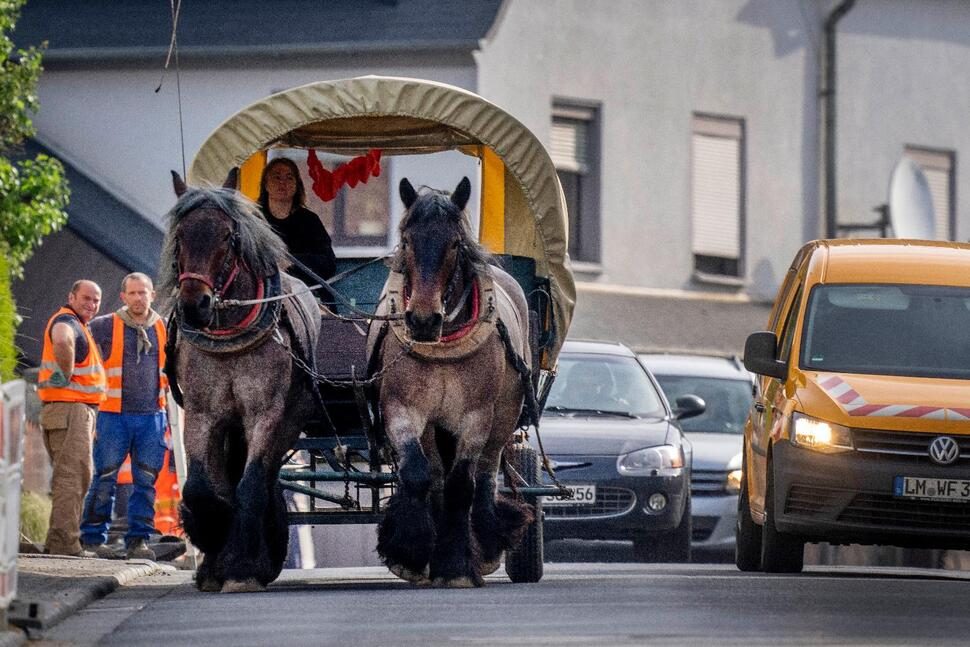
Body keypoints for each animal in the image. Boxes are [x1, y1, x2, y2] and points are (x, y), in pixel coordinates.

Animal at [163, 171, 320, 592]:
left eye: (228, 237)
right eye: (180, 235)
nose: (194, 305)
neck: (230, 336)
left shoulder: (264, 414)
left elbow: (249, 485)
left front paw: (242, 567)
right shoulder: (201, 413)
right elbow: (201, 487)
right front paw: (212, 539)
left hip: (288, 421)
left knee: (263, 479)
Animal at [370, 177, 536, 588]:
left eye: (455, 244)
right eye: (407, 240)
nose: (422, 319)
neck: (442, 343)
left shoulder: (476, 417)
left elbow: (463, 484)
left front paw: (456, 565)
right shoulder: (403, 409)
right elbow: (418, 474)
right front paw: (411, 550)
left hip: (503, 417)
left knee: (486, 475)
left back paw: (487, 541)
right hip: (434, 426)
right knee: (435, 475)